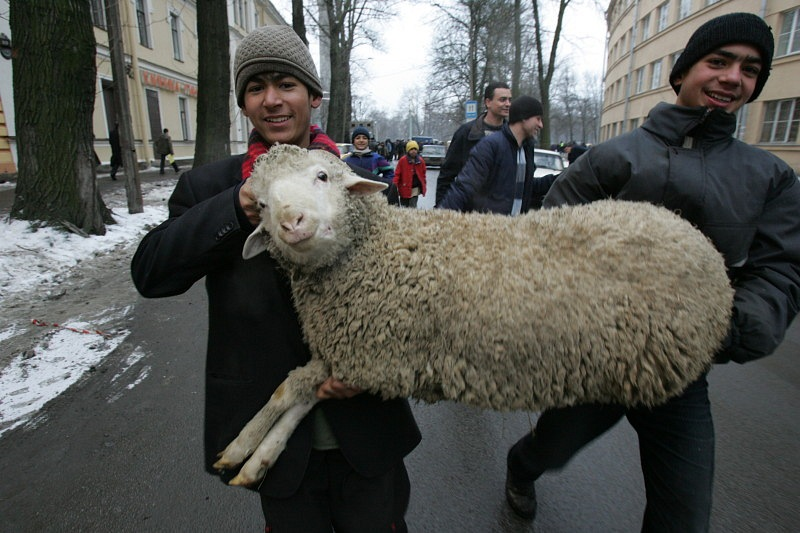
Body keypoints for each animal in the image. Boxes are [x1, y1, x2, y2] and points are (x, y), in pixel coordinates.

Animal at [211, 141, 732, 486]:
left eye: (323, 176)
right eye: (260, 203)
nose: (291, 222)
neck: (375, 252)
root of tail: (696, 238)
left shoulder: (374, 357)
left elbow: (289, 390)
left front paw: (242, 447)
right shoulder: (351, 354)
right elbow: (296, 394)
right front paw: (255, 457)